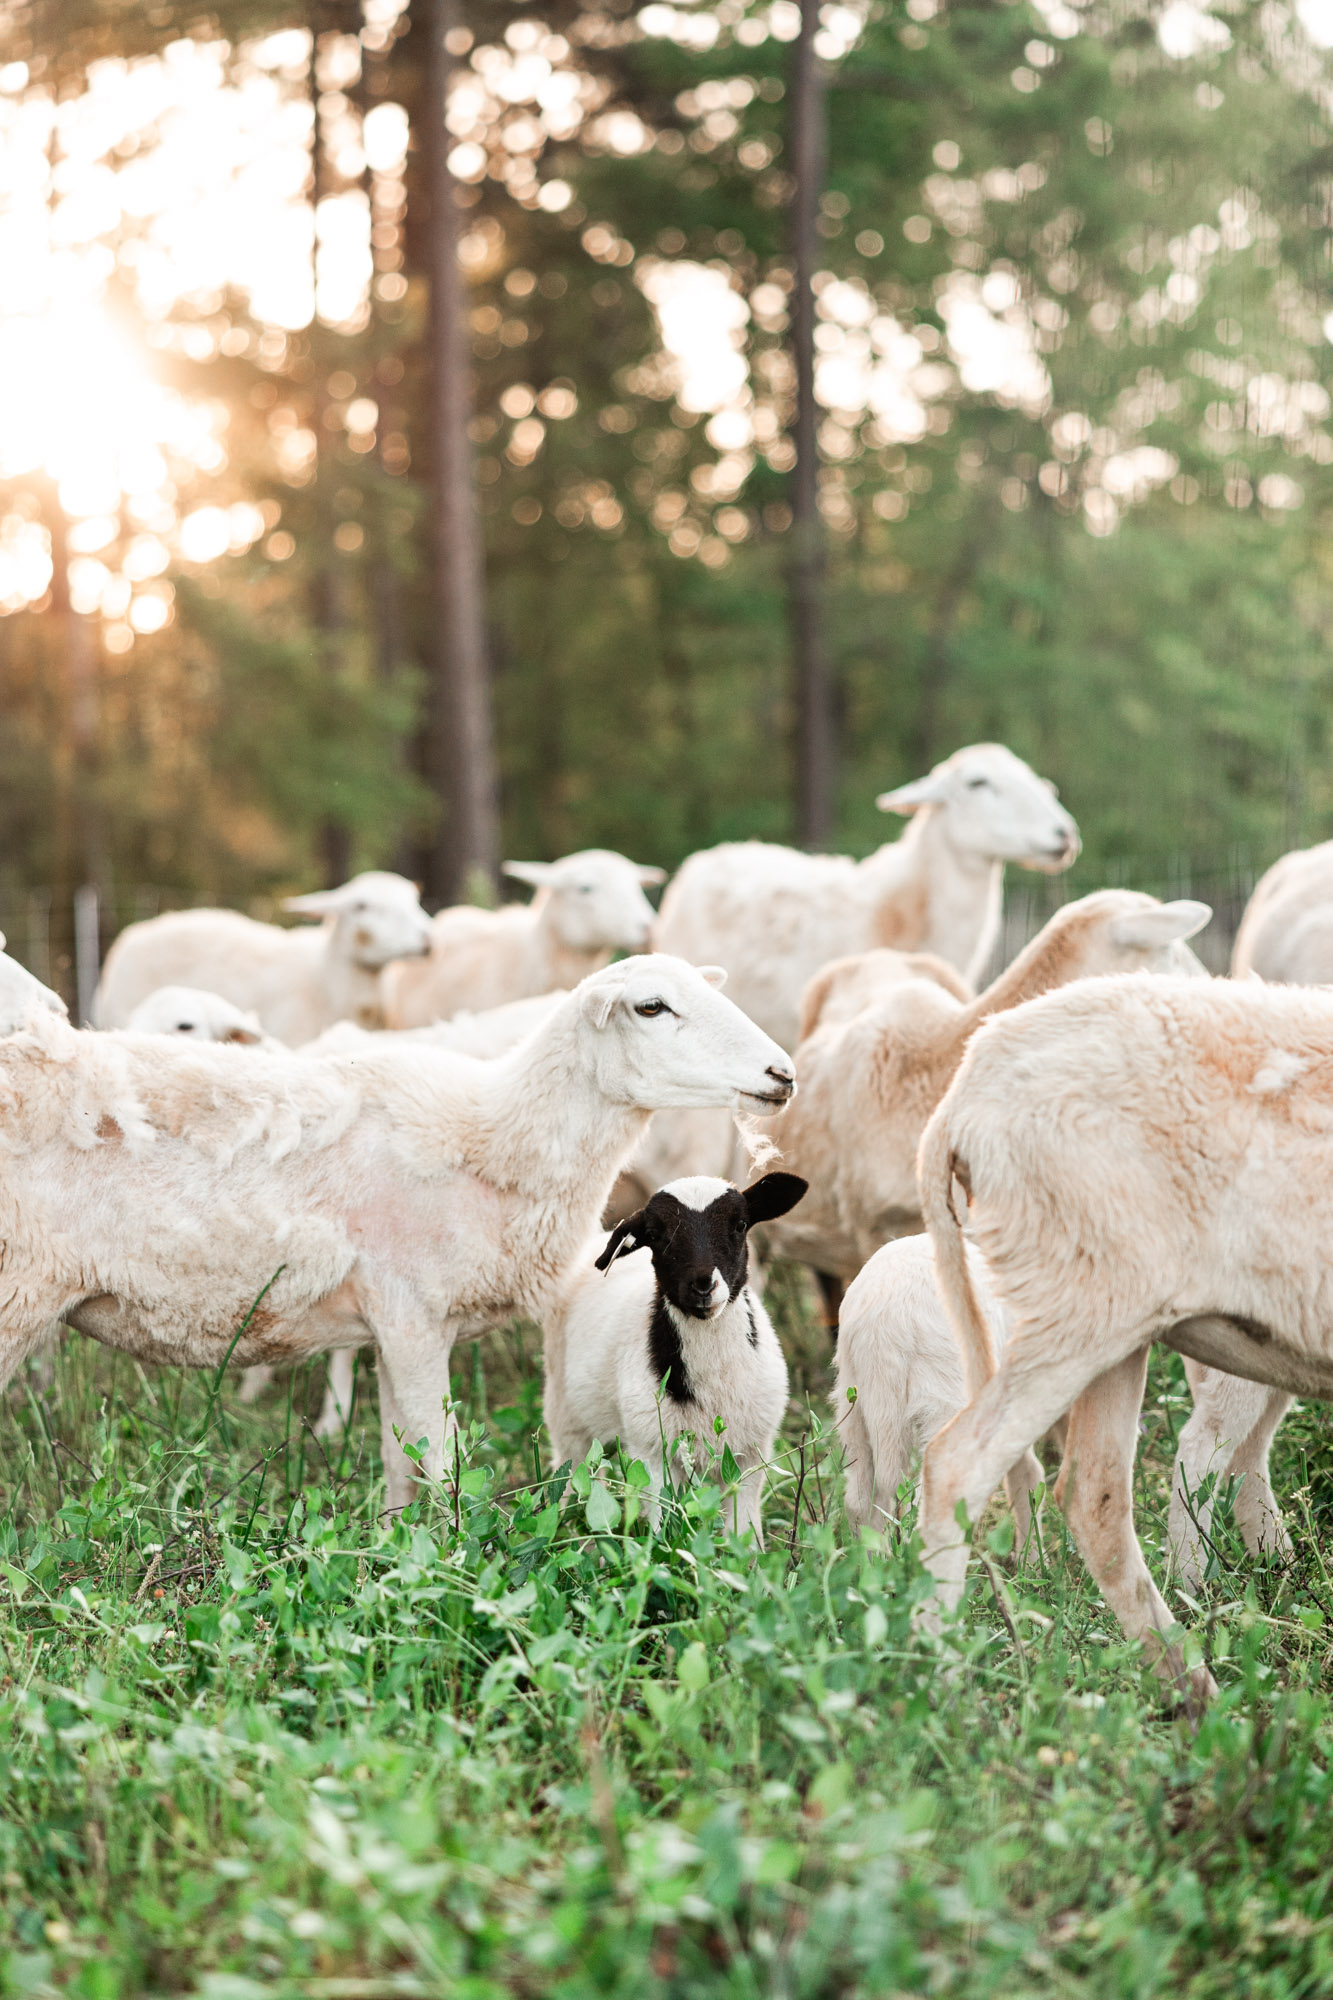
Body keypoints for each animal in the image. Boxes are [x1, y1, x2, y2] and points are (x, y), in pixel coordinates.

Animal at [0, 954, 794, 1511]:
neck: (491, 1136)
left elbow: (397, 1463)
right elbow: (439, 1464)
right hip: (17, 1292)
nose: (781, 1072)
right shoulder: (413, 1315)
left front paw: (392, 1552)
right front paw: (452, 1563)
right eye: (651, 1007)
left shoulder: (386, 1327)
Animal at [543, 1172, 807, 1544]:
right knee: (571, 1471)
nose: (702, 1285)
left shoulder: (751, 1453)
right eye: (654, 1234)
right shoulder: (652, 1451)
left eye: (740, 1224)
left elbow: (743, 1529)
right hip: (566, 1411)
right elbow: (661, 1526)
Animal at [913, 972, 1333, 1714]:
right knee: (958, 1465)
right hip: (1080, 1305)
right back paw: (942, 1687)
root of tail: (967, 1085)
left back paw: (1193, 1689)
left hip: (1115, 1320)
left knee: (1093, 1496)